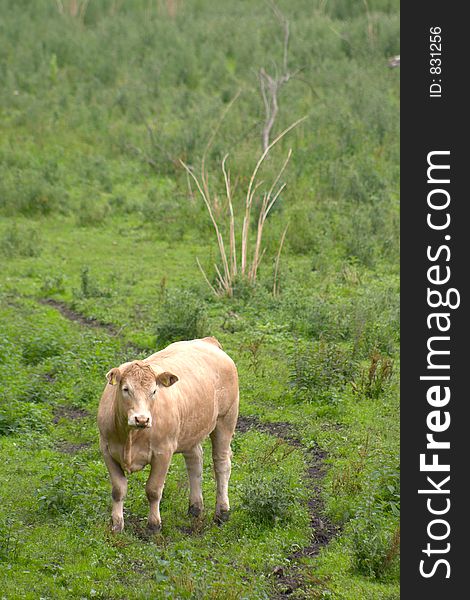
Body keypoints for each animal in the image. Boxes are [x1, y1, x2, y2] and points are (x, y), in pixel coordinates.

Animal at [98, 336, 241, 532]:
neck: (131, 437)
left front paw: (153, 526)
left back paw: (222, 512)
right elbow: (118, 490)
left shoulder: (163, 452)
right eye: (126, 389)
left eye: (154, 391)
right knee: (195, 461)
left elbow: (153, 490)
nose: (141, 419)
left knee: (222, 463)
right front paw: (117, 526)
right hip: (191, 430)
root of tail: (207, 341)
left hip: (226, 419)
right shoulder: (107, 450)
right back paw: (195, 508)